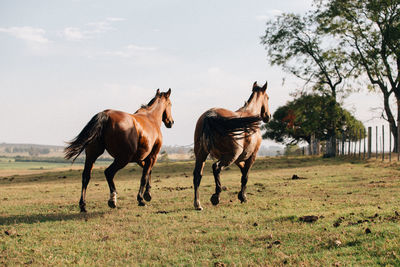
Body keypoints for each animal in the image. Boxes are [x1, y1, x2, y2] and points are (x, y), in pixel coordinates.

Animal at [191, 81, 272, 211]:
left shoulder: (239, 158)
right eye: (267, 97)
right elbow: (245, 176)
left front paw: (242, 195)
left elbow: (243, 171)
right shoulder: (251, 156)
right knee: (216, 168)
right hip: (229, 156)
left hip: (202, 155)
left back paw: (197, 204)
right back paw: (216, 197)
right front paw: (243, 197)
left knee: (197, 175)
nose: (268, 116)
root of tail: (210, 115)